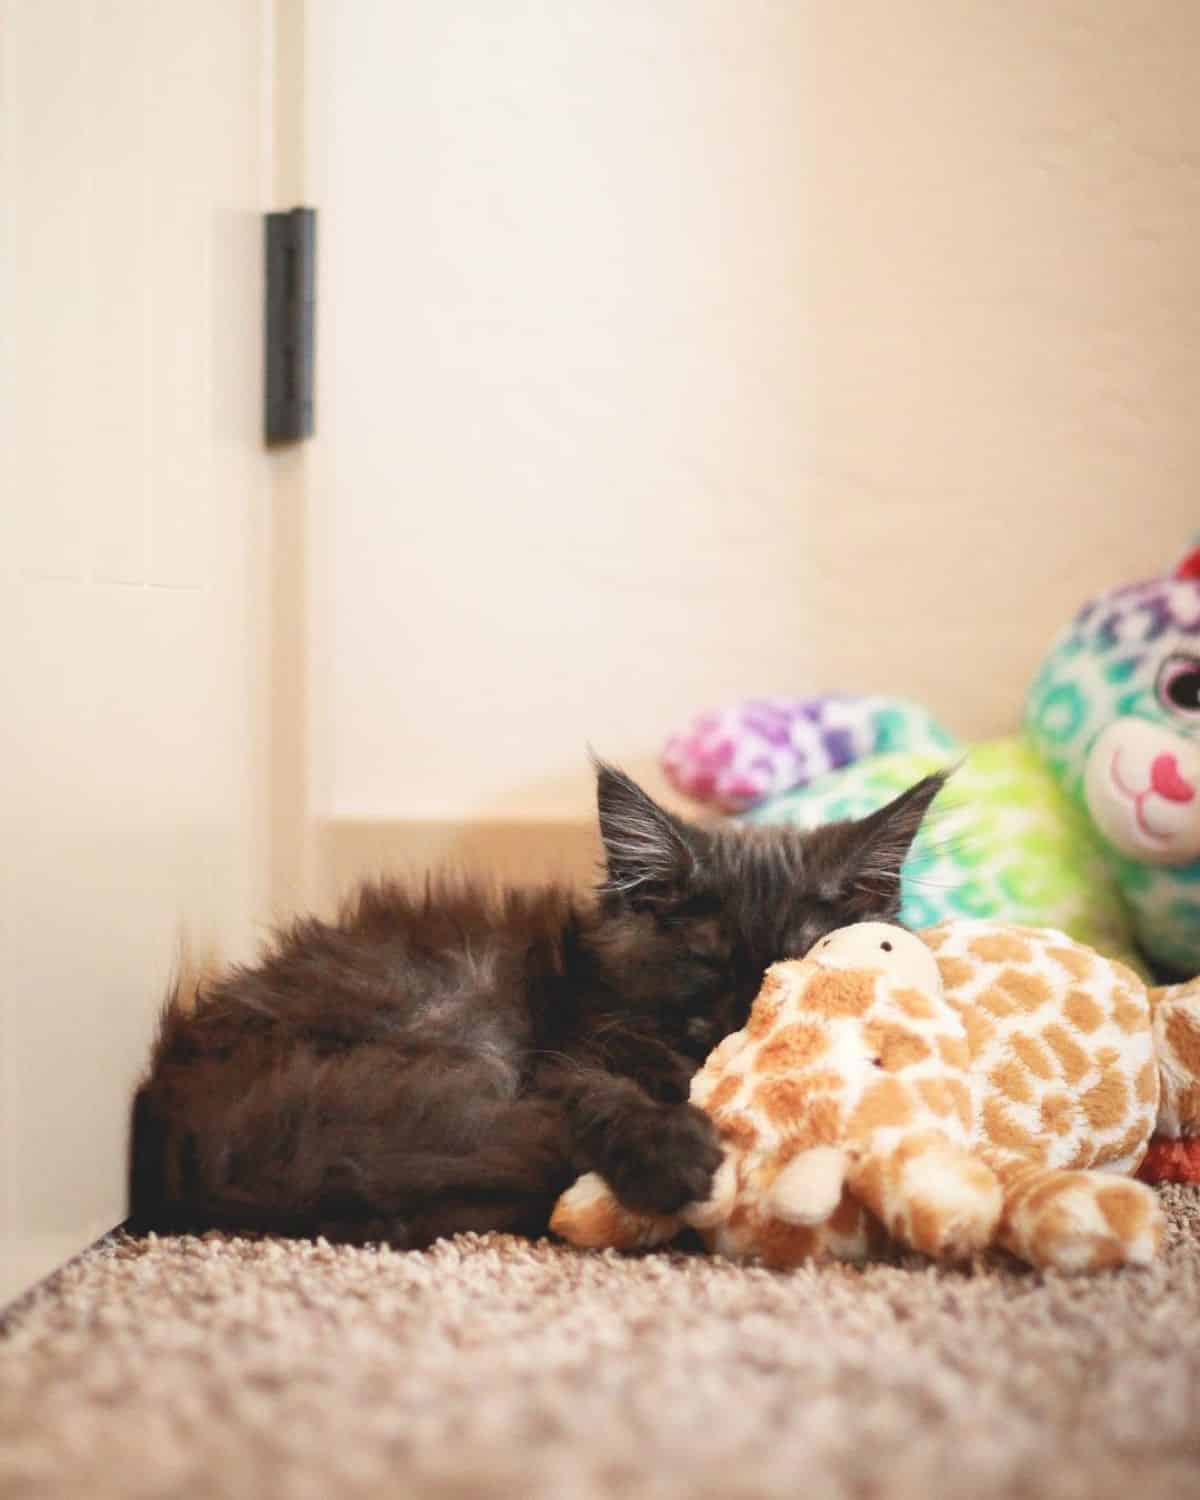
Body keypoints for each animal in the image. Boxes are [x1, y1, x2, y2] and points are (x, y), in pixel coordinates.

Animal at [126, 762, 942, 1242]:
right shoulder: (566, 1055)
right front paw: (677, 1154)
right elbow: (603, 1097)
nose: (745, 1022)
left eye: (796, 964)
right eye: (703, 963)